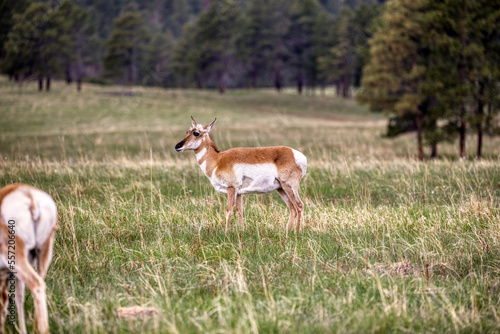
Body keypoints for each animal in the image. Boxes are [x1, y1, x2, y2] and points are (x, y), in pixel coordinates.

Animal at [176, 116, 308, 231]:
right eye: (187, 131)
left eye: (196, 133)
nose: (177, 146)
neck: (218, 160)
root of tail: (296, 154)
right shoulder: (239, 193)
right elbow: (240, 212)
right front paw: (242, 230)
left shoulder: (231, 188)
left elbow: (229, 210)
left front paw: (226, 232)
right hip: (281, 189)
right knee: (292, 209)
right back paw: (287, 232)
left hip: (289, 187)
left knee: (299, 206)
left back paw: (296, 232)